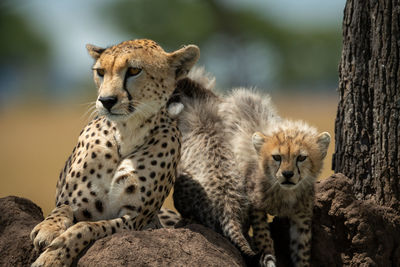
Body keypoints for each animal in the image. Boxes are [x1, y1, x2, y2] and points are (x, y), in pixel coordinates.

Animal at [30, 38, 199, 266]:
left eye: (134, 70)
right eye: (101, 72)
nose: (106, 101)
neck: (126, 133)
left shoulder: (133, 220)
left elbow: (86, 227)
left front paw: (52, 257)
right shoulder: (75, 203)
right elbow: (61, 208)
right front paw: (47, 228)